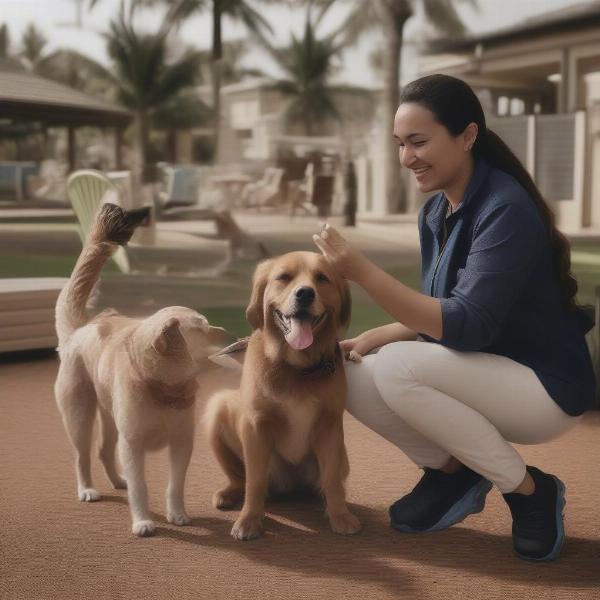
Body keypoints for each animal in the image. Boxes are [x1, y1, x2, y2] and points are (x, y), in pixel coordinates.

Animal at [55, 204, 227, 536]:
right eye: (202, 328)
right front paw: (143, 521)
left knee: (103, 451)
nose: (230, 331)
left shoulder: (182, 444)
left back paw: (116, 480)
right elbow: (141, 487)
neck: (166, 387)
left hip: (109, 419)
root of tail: (79, 329)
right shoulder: (133, 446)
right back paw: (88, 490)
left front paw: (177, 514)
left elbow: (175, 486)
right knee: (82, 457)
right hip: (79, 418)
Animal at [204, 251, 358, 540]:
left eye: (322, 278)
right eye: (284, 277)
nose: (305, 294)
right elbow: (254, 480)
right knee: (240, 479)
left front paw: (340, 515)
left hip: (342, 458)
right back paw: (228, 494)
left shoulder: (330, 425)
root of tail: (290, 486)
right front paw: (250, 519)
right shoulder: (256, 426)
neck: (296, 368)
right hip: (217, 409)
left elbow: (331, 478)